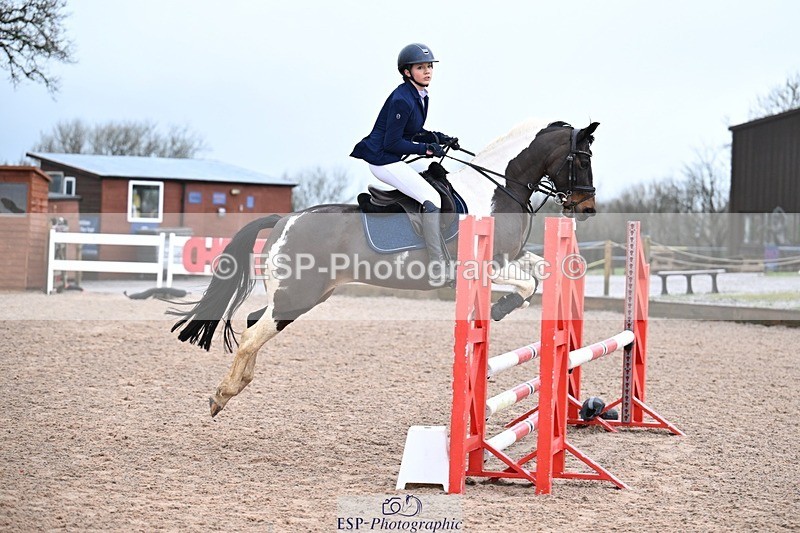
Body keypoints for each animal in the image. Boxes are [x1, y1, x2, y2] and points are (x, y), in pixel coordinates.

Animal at [171, 119, 600, 416]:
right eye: (582, 160)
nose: (587, 209)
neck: (496, 189)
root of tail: (284, 219)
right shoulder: (486, 266)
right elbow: (527, 284)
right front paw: (498, 308)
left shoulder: (511, 257)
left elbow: (540, 272)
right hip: (297, 295)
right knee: (251, 333)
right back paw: (222, 395)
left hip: (302, 297)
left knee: (254, 323)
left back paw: (237, 385)